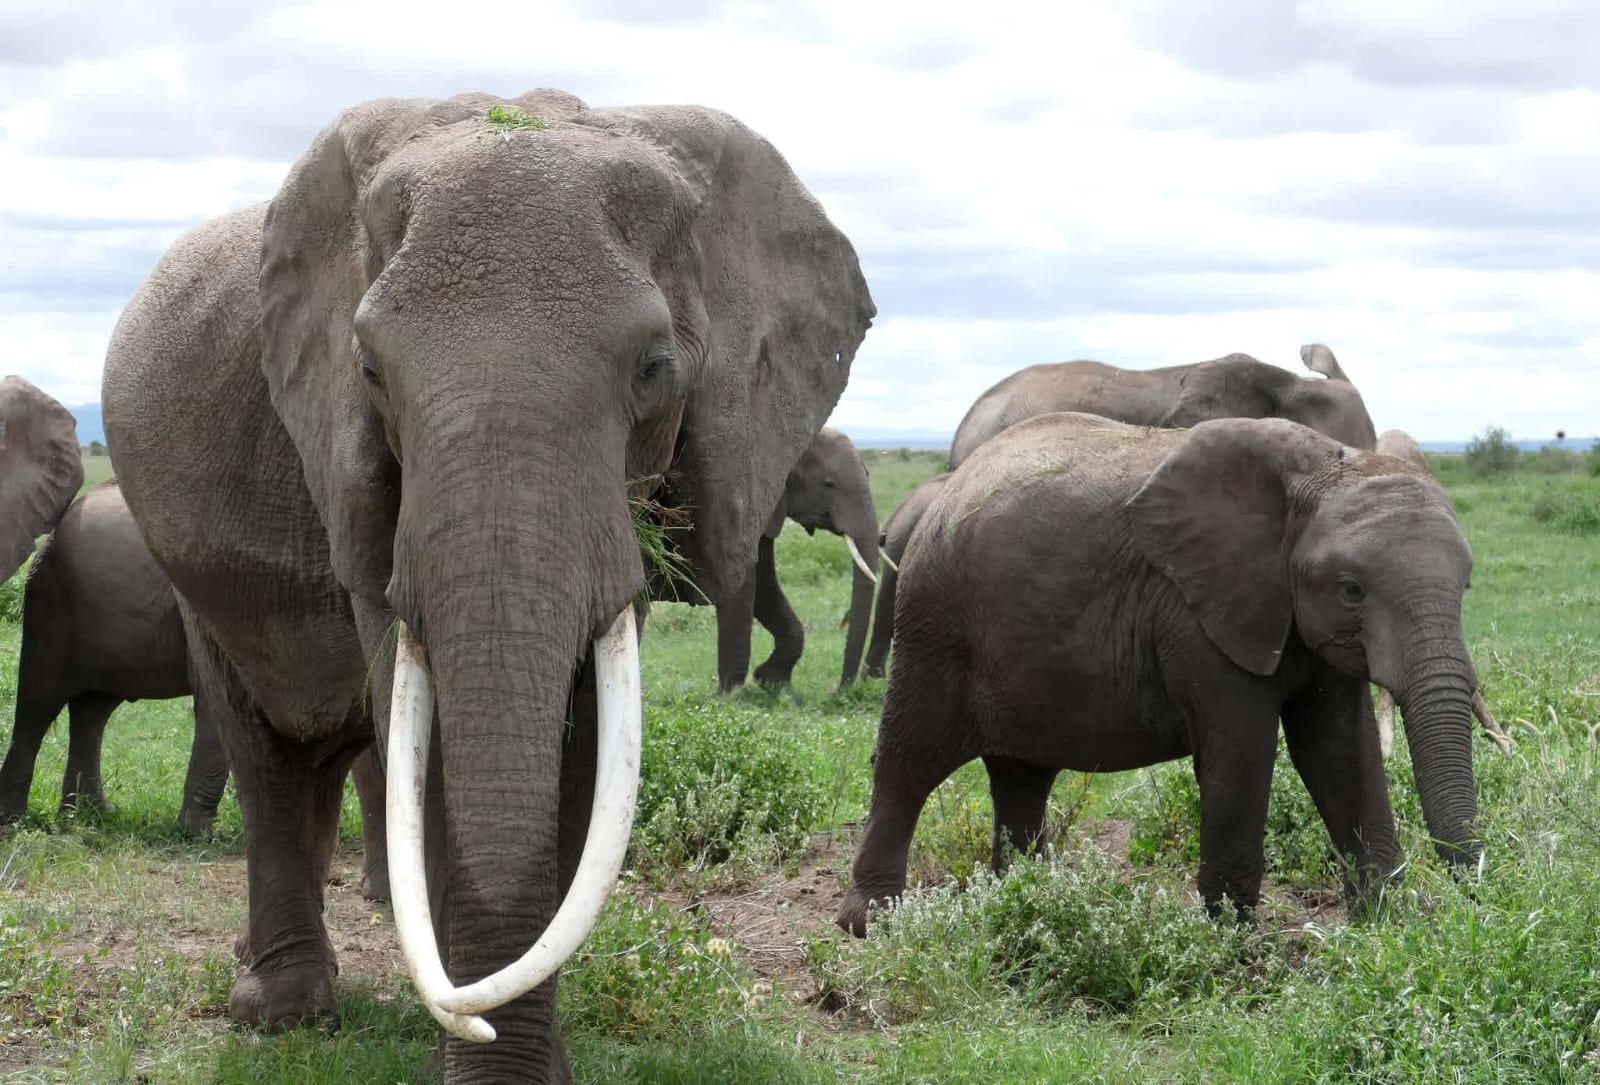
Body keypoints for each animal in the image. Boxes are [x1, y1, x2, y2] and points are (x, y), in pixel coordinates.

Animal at [715, 427, 879, 691]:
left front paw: (770, 681)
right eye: (829, 484)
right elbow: (742, 586)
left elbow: (764, 584)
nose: (833, 693)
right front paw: (730, 693)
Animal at [838, 412, 1481, 936]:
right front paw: (1231, 940)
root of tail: (949, 487)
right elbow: (1243, 750)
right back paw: (870, 925)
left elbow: (1341, 750)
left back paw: (1024, 898)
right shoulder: (1193, 614)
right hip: (933, 623)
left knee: (1022, 778)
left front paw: (1385, 921)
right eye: (1351, 590)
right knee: (908, 764)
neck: (1316, 470)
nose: (1473, 898)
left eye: (1467, 583)